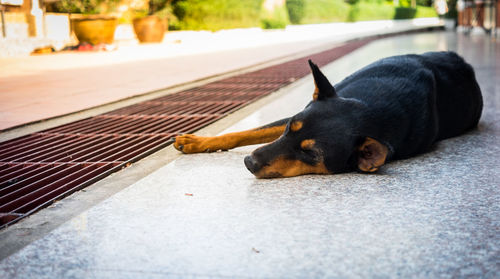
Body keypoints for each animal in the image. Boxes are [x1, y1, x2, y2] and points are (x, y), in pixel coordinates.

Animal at [174, 52, 482, 179]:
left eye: (311, 154)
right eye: (289, 128)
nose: (249, 162)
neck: (370, 106)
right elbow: (246, 132)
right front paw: (197, 142)